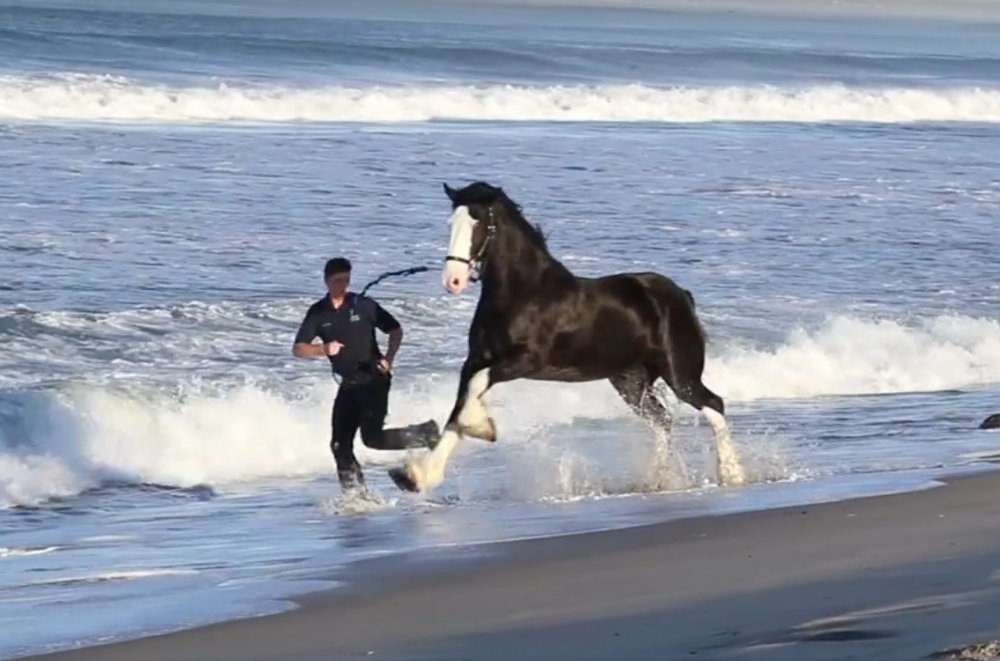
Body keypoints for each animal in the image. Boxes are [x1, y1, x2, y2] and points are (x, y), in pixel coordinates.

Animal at [388, 183, 744, 492]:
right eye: (451, 222)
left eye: (478, 224)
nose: (453, 280)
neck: (522, 293)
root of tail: (681, 296)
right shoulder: (475, 359)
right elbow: (459, 406)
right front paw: (417, 477)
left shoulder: (525, 361)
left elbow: (471, 395)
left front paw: (481, 427)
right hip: (630, 382)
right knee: (663, 420)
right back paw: (657, 479)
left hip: (679, 374)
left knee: (714, 405)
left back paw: (732, 474)